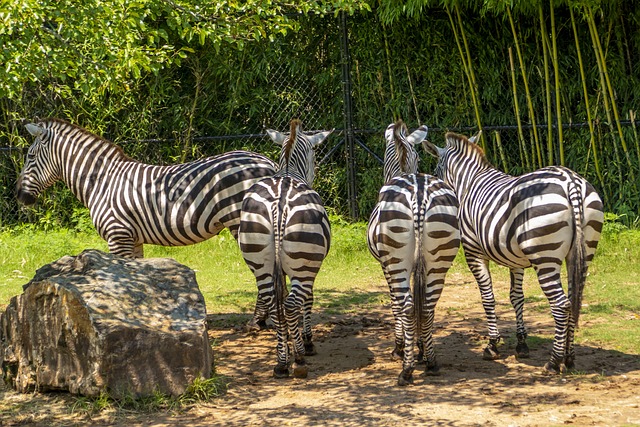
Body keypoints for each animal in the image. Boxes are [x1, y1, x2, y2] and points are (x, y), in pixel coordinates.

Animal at [16, 120, 278, 328]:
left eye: (30, 157)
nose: (19, 195)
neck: (102, 183)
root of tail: (268, 163)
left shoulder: (117, 235)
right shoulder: (133, 239)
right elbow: (138, 279)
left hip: (246, 224)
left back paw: (258, 322)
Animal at [238, 118, 332, 380]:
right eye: (314, 155)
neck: (289, 170)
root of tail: (278, 203)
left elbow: (280, 299)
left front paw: (289, 339)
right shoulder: (312, 269)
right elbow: (307, 300)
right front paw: (306, 341)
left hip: (258, 258)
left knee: (273, 302)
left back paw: (281, 363)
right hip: (305, 262)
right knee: (290, 305)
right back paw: (298, 359)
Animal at [368, 121, 462, 388]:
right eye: (420, 157)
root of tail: (420, 193)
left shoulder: (386, 266)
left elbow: (396, 305)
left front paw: (400, 347)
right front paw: (420, 347)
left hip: (396, 259)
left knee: (410, 306)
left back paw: (406, 370)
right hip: (440, 257)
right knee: (427, 306)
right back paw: (431, 361)